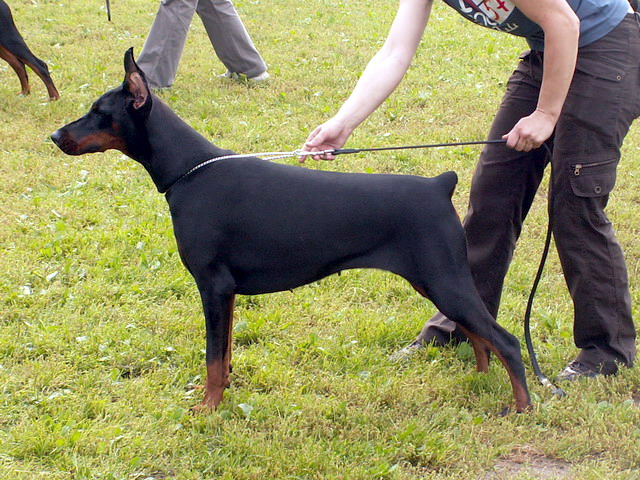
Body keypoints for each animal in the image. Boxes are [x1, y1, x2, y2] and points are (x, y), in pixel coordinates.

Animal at [51, 49, 531, 412]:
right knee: (479, 337)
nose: (55, 136)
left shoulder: (213, 285)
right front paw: (219, 395)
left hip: (443, 279)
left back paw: (521, 407)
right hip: (436, 281)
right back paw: (477, 381)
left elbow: (212, 357)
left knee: (505, 341)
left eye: (98, 112)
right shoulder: (227, 292)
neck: (190, 170)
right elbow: (225, 354)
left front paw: (207, 409)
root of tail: (439, 184)